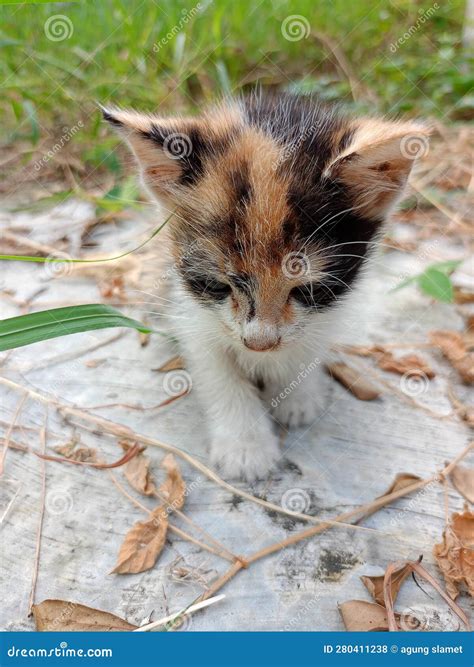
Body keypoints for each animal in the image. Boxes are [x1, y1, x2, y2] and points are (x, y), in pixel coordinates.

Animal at [103, 92, 430, 480]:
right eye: (217, 286)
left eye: (308, 290)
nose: (260, 343)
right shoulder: (192, 315)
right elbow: (220, 376)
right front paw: (246, 448)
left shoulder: (324, 314)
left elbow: (305, 347)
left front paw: (298, 397)